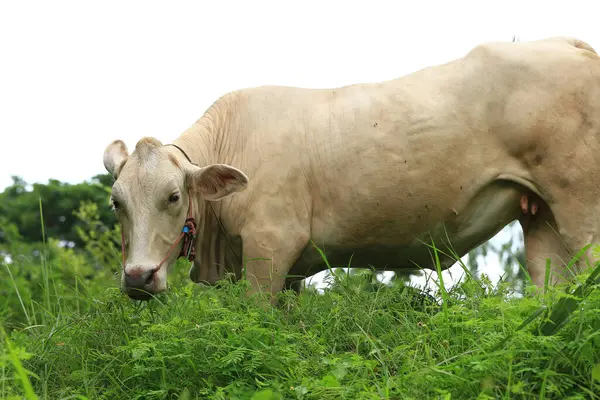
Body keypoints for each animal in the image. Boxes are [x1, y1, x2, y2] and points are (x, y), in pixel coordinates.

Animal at [103, 36, 600, 300]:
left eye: (174, 196)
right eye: (116, 203)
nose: (138, 277)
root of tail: (565, 43)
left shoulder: (271, 244)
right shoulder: (288, 270)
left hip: (581, 204)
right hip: (541, 215)